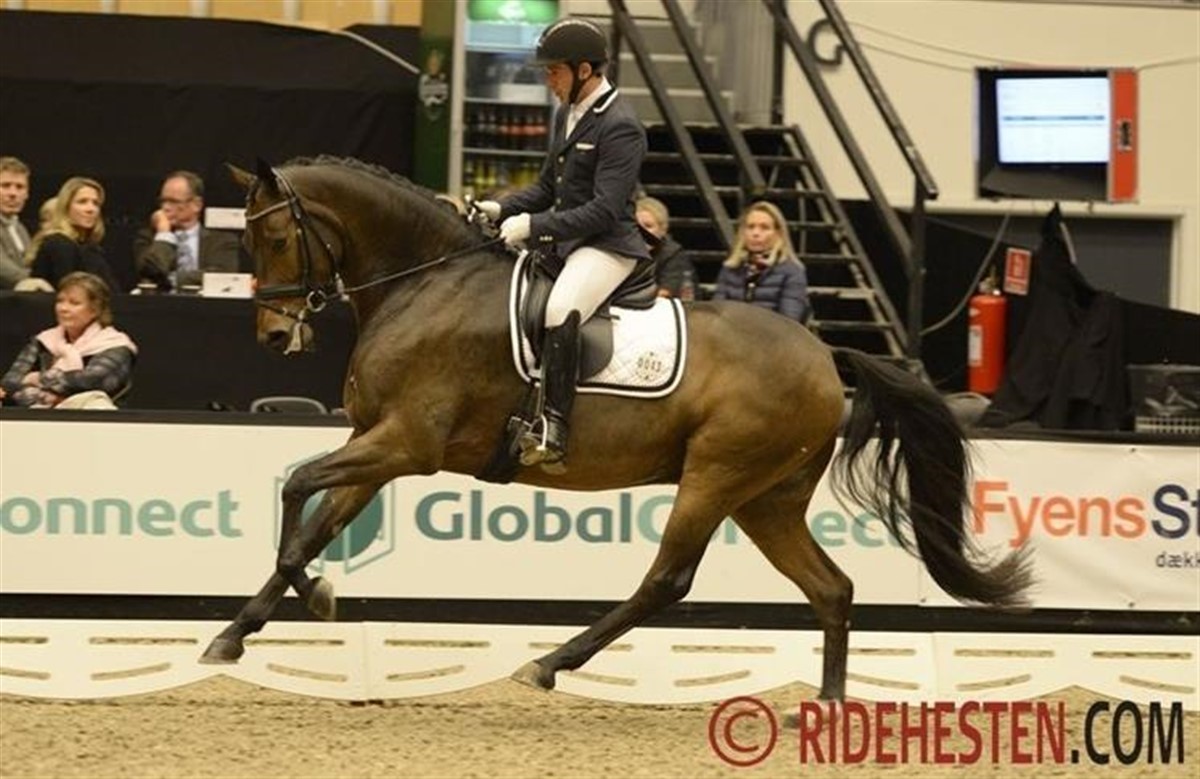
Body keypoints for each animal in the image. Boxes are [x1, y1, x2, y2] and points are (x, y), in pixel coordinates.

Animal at [200, 155, 1031, 701]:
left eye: (276, 238)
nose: (274, 335)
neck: (426, 282)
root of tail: (825, 354)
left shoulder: (408, 443)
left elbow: (297, 490)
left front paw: (312, 597)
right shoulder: (376, 445)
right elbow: (314, 522)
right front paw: (240, 629)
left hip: (716, 477)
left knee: (668, 578)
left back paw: (549, 663)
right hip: (766, 500)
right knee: (831, 587)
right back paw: (826, 707)